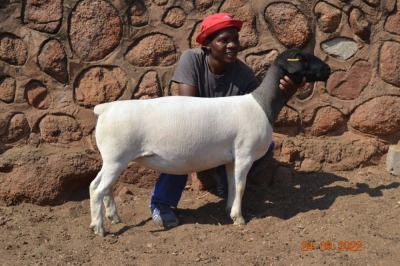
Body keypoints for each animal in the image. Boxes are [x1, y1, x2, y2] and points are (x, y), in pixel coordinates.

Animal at [89, 48, 330, 237]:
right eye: (302, 58)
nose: (328, 69)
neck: (262, 104)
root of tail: (104, 109)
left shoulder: (233, 158)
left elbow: (233, 184)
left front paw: (229, 209)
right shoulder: (245, 154)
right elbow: (241, 186)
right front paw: (239, 218)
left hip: (112, 159)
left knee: (100, 185)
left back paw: (113, 217)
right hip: (117, 157)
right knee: (98, 189)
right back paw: (99, 229)